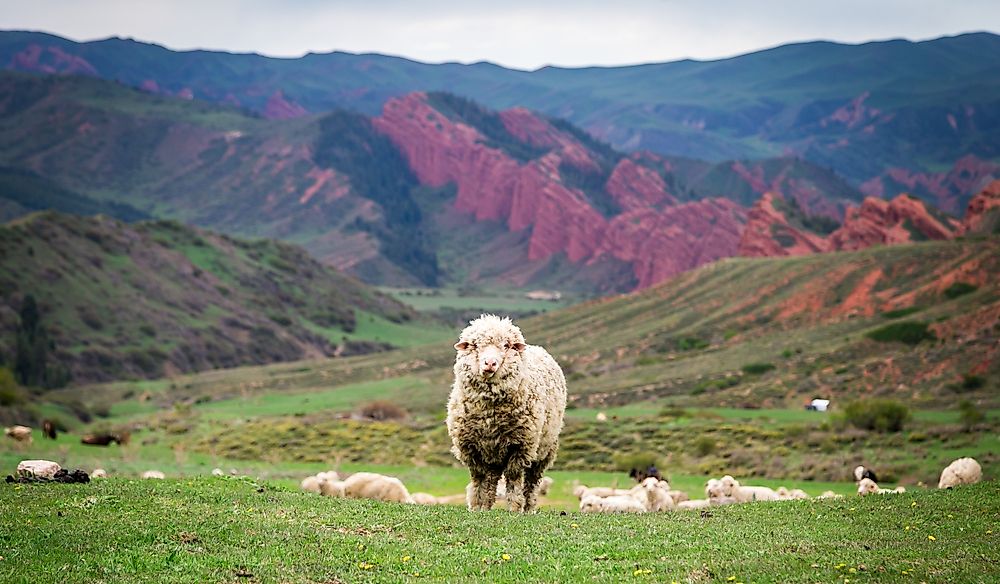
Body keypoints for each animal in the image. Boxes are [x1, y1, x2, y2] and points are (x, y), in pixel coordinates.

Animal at [448, 314, 568, 512]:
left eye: (506, 345)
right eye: (475, 345)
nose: (490, 363)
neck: (490, 413)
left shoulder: (520, 446)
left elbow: (513, 477)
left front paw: (514, 507)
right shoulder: (470, 447)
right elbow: (478, 477)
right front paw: (477, 506)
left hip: (545, 449)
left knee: (532, 481)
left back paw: (528, 508)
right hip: (494, 452)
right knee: (491, 478)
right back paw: (487, 505)